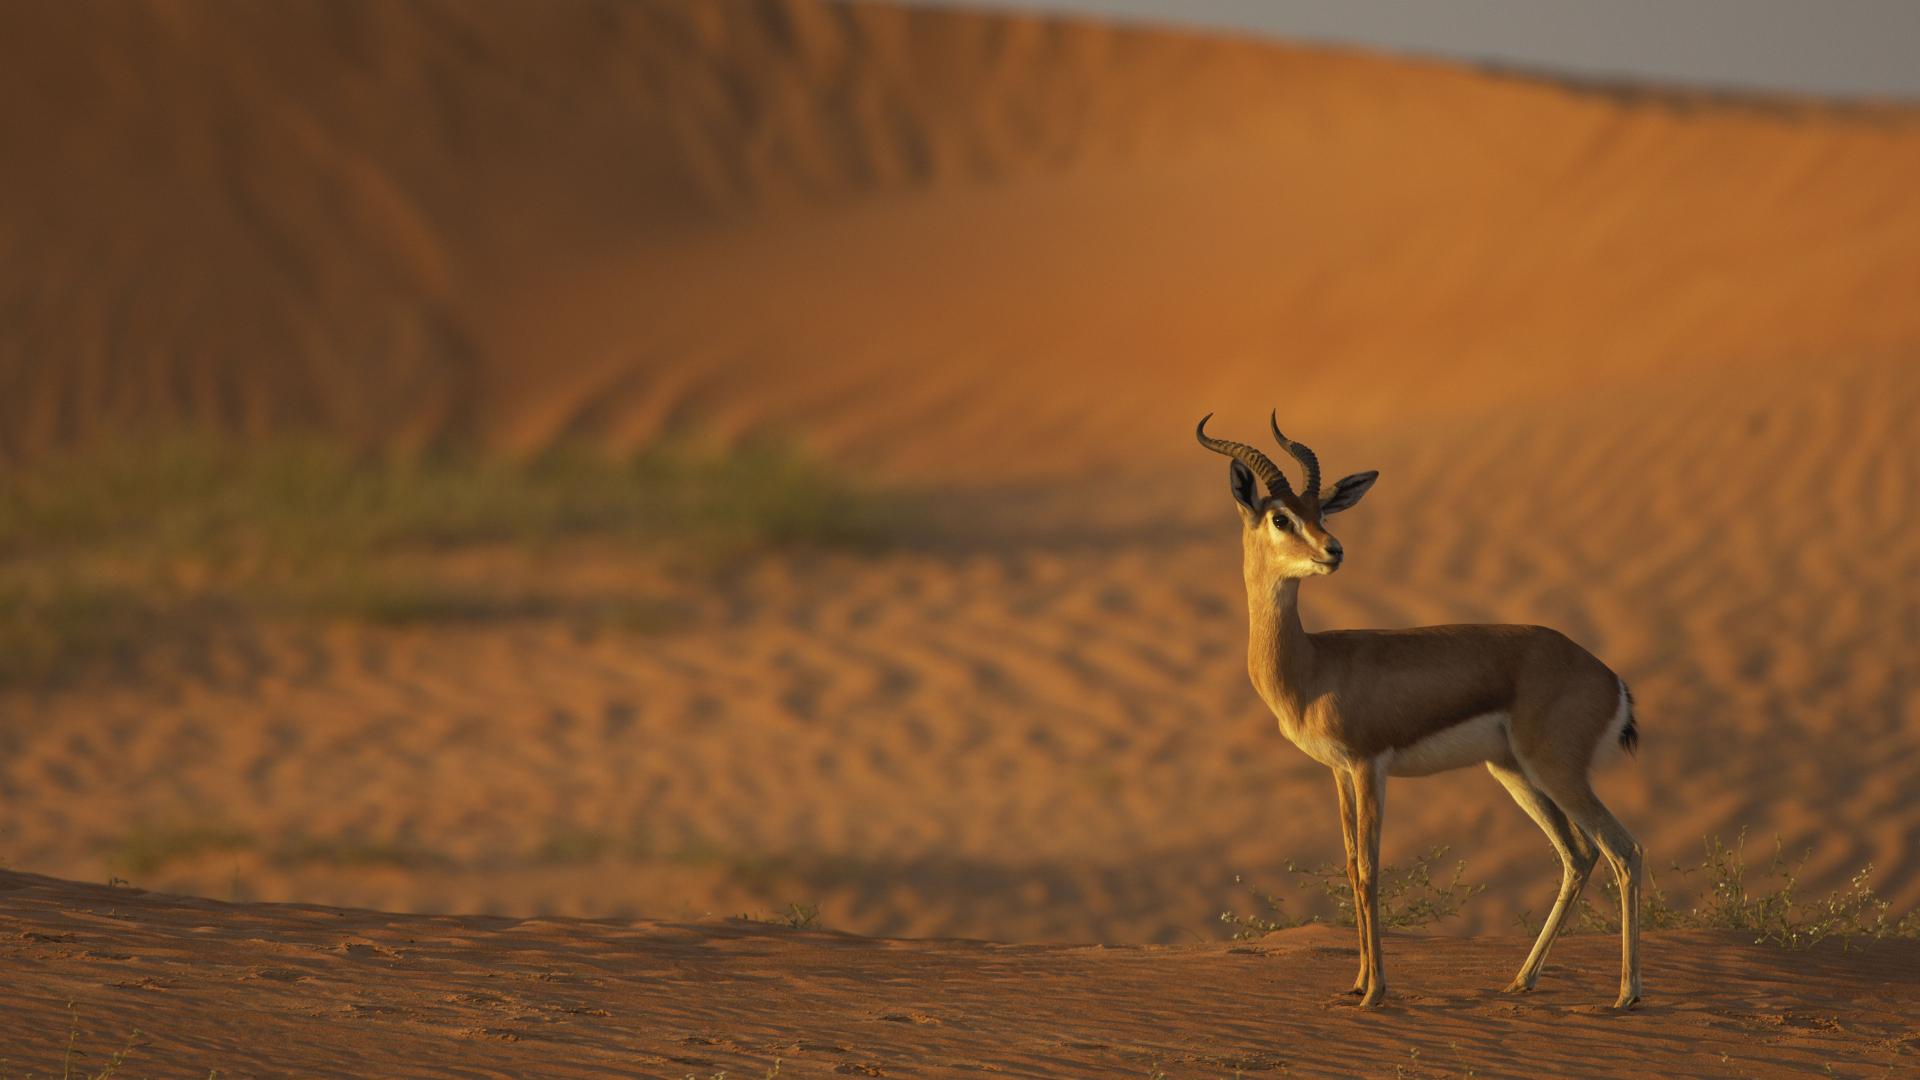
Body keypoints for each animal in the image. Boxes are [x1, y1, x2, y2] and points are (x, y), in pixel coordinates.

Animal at [1197, 412, 1643, 1009]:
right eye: (1281, 516)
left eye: (1320, 512)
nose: (1334, 550)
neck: (1313, 664)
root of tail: (1608, 676)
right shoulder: (1340, 773)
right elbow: (1350, 865)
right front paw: (1357, 982)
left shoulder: (1369, 767)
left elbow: (1369, 870)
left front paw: (1375, 992)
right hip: (1513, 772)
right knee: (1578, 856)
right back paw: (1521, 980)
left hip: (1556, 772)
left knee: (1623, 850)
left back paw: (1627, 994)